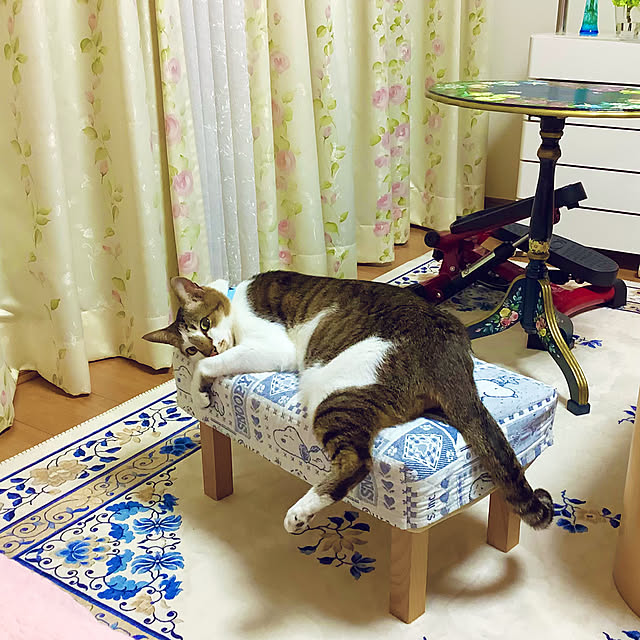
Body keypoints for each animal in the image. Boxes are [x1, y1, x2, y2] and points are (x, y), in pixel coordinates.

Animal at [143, 271, 554, 533]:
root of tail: (449, 354)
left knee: (357, 462)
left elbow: (208, 368)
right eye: (190, 347)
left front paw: (200, 390)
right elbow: (210, 365)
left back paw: (299, 514)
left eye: (206, 325)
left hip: (329, 393)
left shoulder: (270, 347)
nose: (210, 346)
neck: (235, 297)